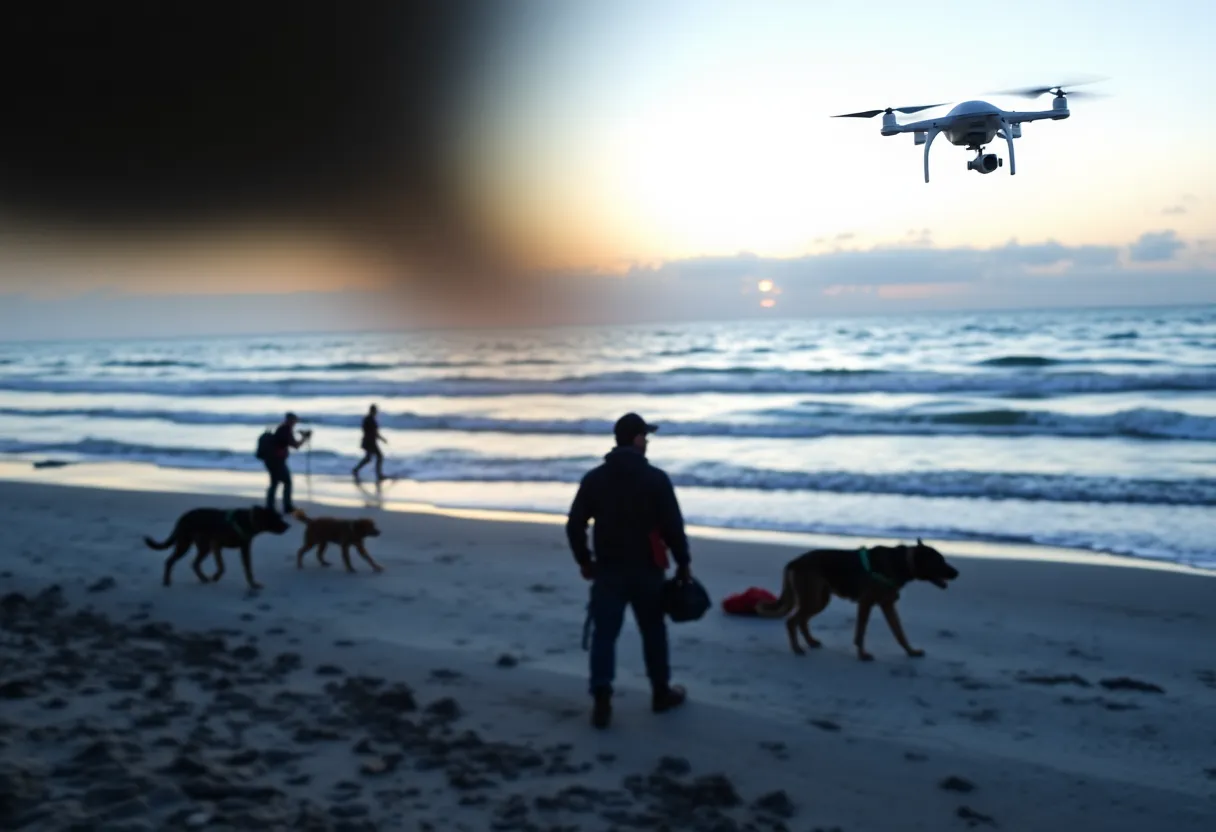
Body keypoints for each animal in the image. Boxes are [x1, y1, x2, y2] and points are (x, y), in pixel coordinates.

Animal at [143, 501, 290, 591]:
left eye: (280, 516)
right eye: (276, 518)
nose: (288, 526)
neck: (248, 519)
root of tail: (182, 518)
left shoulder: (225, 547)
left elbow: (238, 567)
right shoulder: (218, 544)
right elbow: (224, 566)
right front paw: (216, 576)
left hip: (204, 547)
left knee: (195, 563)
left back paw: (203, 578)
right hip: (186, 544)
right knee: (170, 561)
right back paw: (167, 582)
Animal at [749, 540, 958, 661]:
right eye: (940, 561)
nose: (957, 573)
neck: (902, 561)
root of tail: (794, 562)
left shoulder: (888, 605)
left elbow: (900, 633)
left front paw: (911, 651)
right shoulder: (866, 604)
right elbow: (860, 633)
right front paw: (862, 655)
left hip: (819, 599)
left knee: (801, 620)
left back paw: (810, 642)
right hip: (814, 599)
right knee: (792, 621)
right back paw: (797, 648)